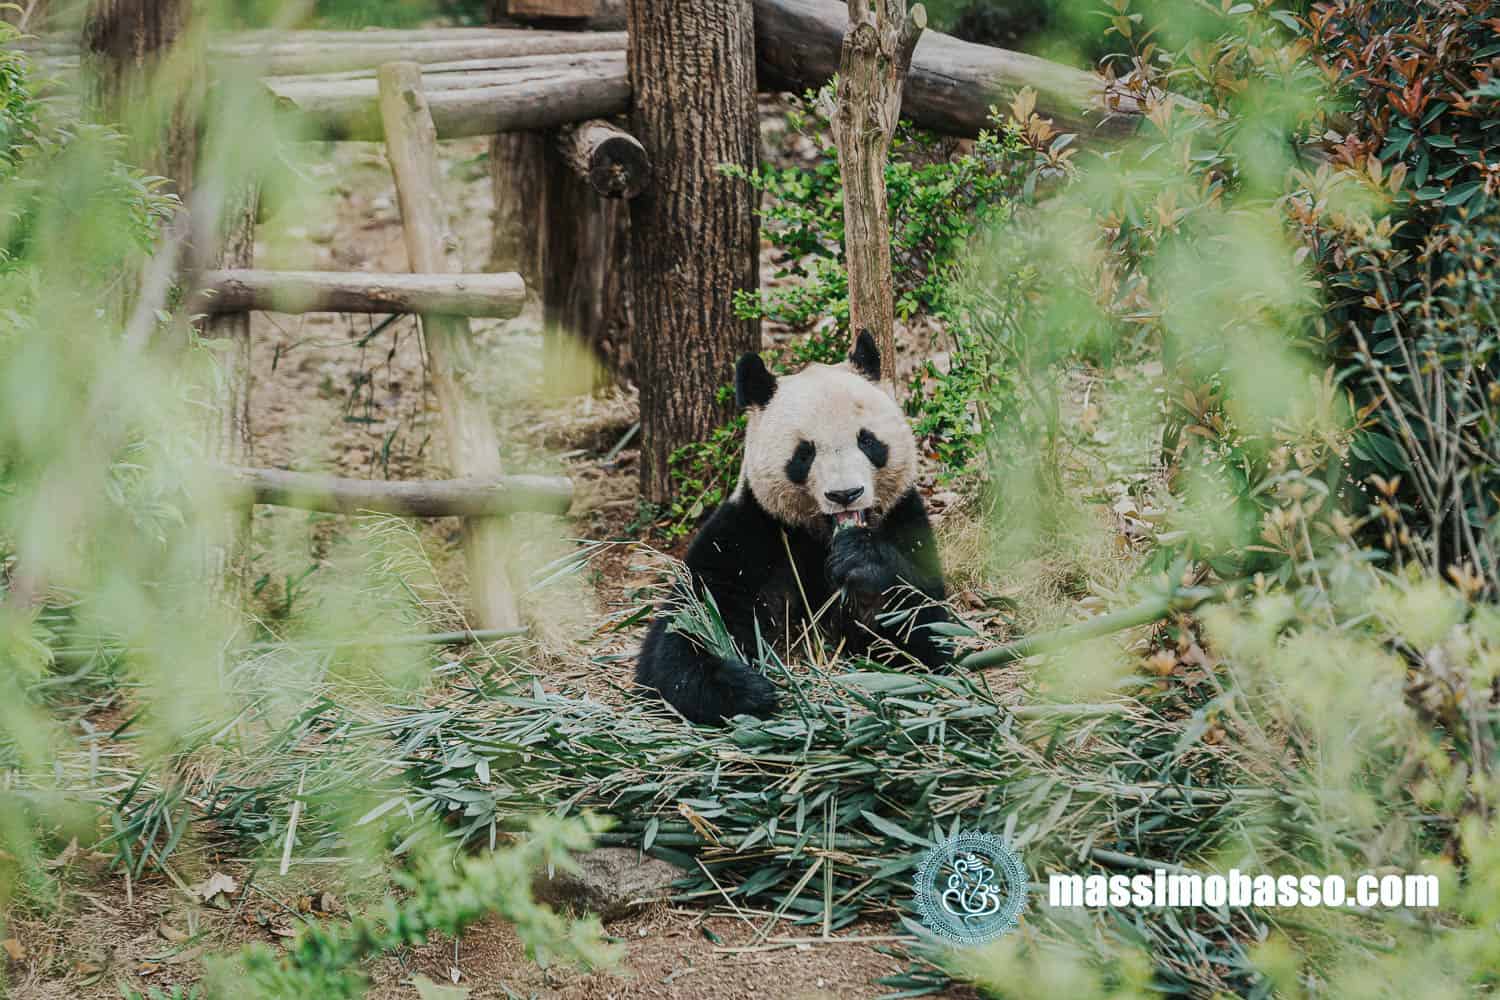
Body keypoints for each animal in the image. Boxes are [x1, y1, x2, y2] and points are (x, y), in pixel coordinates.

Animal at [635, 331, 956, 725]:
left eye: (867, 440)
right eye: (805, 453)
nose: (845, 494)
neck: (819, 536)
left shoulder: (904, 520)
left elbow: (924, 633)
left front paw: (860, 564)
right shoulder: (749, 533)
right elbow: (686, 629)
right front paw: (747, 689)